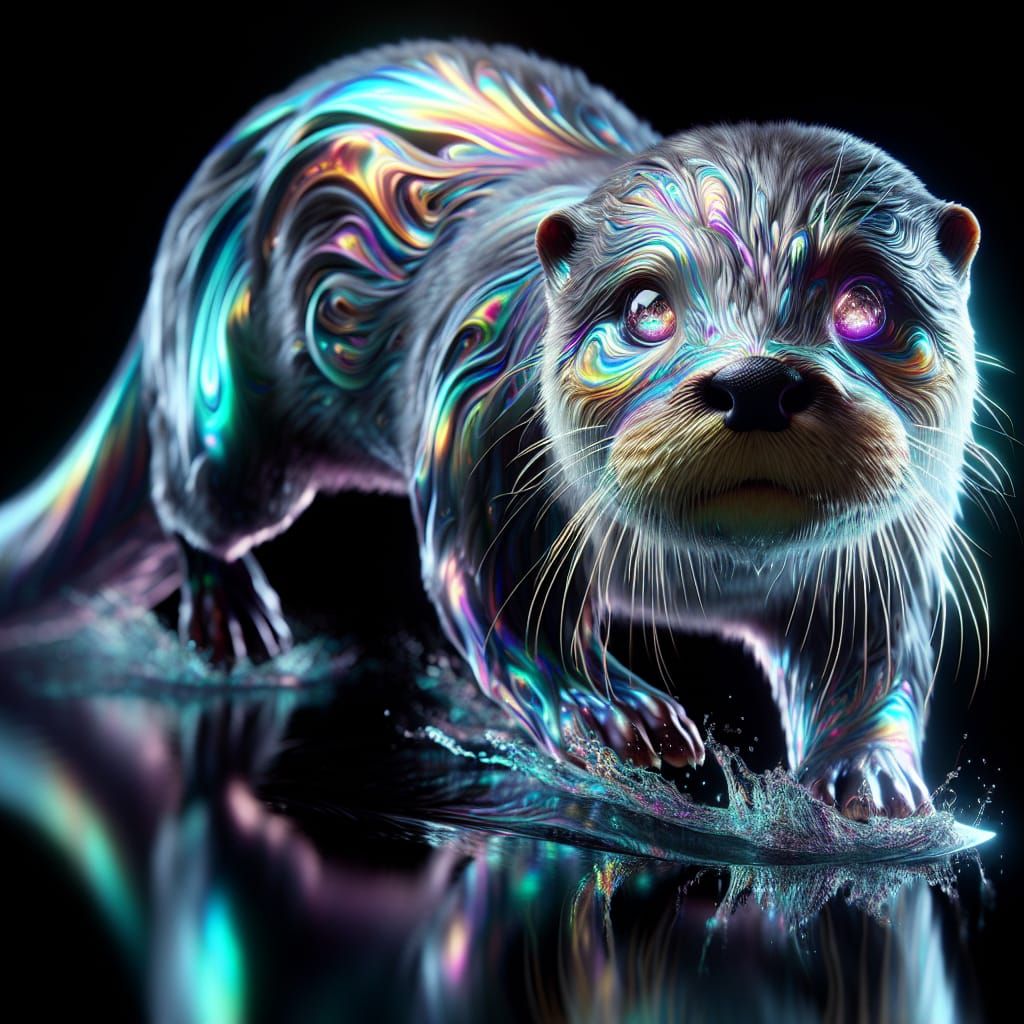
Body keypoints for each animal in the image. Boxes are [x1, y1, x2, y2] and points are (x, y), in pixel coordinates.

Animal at [0, 39, 985, 820]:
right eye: (647, 308)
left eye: (862, 304)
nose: (757, 382)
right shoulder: (483, 433)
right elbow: (501, 599)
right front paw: (612, 718)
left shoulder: (889, 551)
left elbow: (870, 652)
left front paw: (871, 774)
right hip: (227, 414)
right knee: (194, 499)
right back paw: (234, 617)